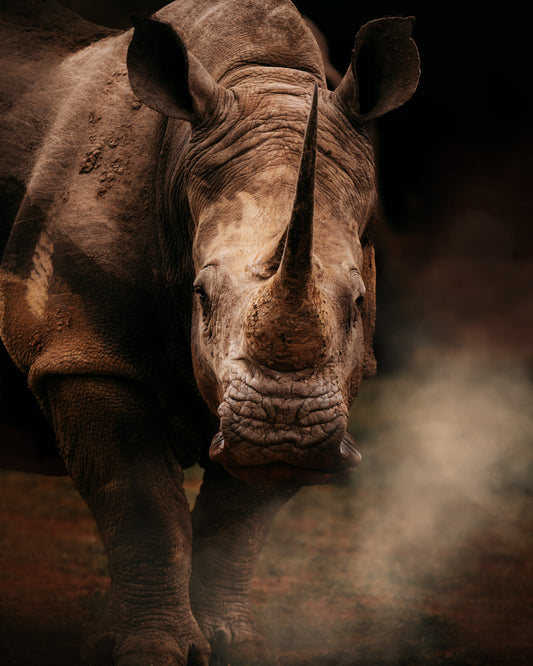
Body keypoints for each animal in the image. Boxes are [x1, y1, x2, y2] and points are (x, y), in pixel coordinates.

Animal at [0, 2, 418, 660]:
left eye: (357, 302)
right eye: (200, 295)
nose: (284, 427)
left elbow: (237, 521)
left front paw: (231, 645)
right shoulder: (81, 351)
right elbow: (145, 503)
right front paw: (154, 653)